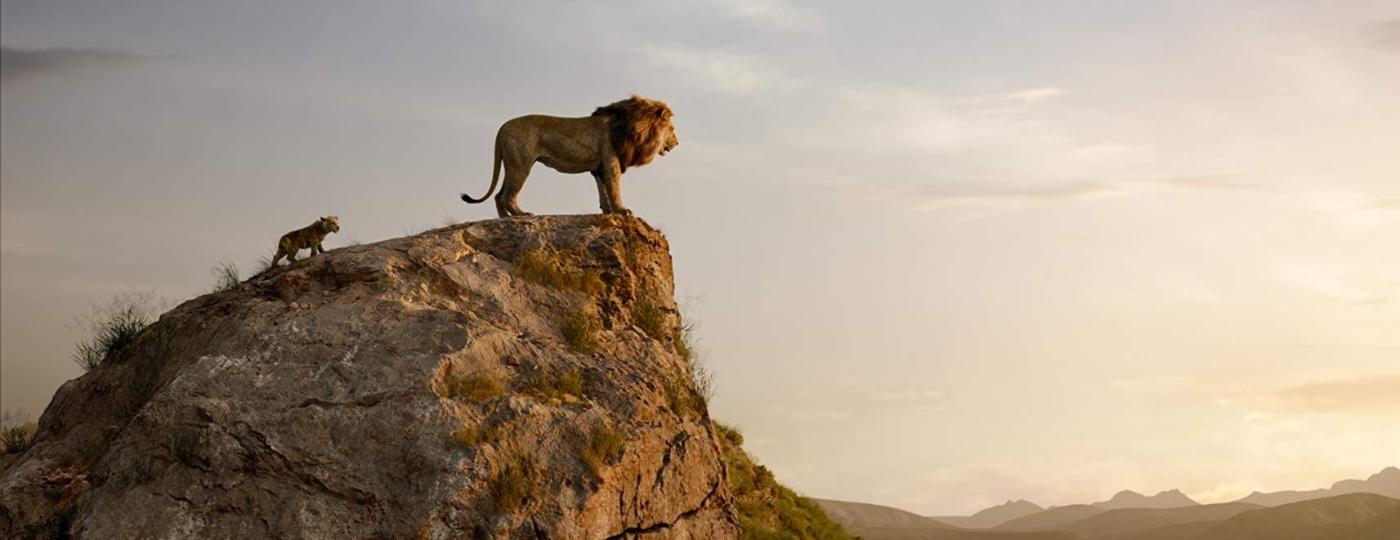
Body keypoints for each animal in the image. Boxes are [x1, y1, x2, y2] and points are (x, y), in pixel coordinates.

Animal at [459, 95, 677, 216]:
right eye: (672, 129)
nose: (677, 143)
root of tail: (502, 128)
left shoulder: (599, 167)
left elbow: (603, 191)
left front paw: (608, 211)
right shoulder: (611, 162)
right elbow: (614, 189)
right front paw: (622, 210)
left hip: (511, 164)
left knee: (498, 196)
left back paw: (506, 219)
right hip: (522, 165)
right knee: (507, 196)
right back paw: (522, 215)